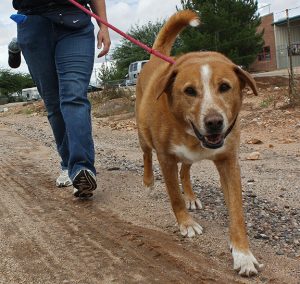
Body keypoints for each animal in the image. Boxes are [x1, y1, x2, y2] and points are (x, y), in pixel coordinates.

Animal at [135, 10, 264, 276]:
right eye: (189, 91)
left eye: (225, 87)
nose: (214, 122)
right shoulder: (166, 158)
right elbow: (174, 195)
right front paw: (186, 224)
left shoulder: (228, 161)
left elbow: (237, 211)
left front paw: (243, 253)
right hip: (143, 134)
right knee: (146, 155)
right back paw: (149, 181)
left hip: (188, 157)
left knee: (185, 170)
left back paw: (191, 196)